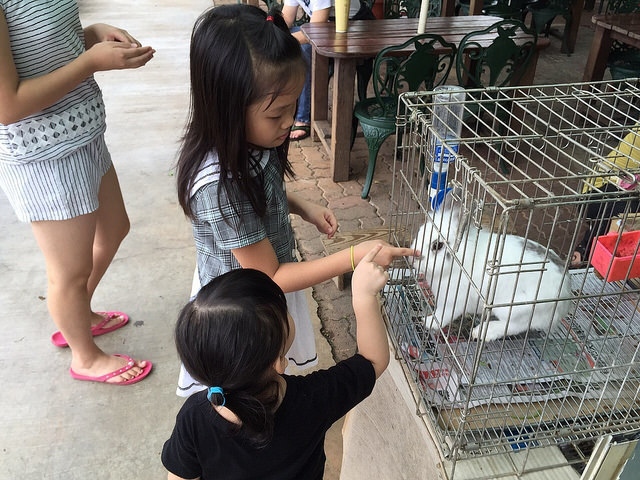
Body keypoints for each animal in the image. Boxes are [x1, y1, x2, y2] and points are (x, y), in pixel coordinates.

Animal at [412, 188, 572, 342]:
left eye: (437, 245)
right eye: (419, 232)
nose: (413, 257)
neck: (460, 261)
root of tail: (565, 296)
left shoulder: (453, 301)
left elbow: (441, 316)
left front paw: (427, 322)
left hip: (515, 309)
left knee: (515, 326)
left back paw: (482, 332)